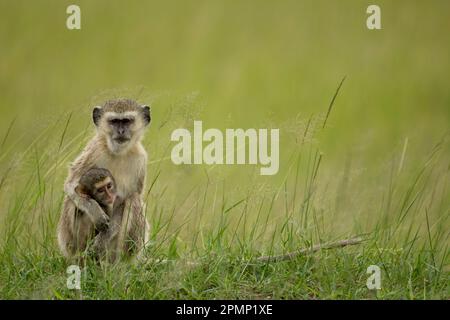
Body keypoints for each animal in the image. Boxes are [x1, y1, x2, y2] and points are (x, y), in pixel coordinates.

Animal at [58, 99, 151, 262]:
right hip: (69, 243)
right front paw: (96, 212)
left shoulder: (141, 159)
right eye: (114, 121)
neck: (118, 153)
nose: (121, 132)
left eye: (127, 121)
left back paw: (120, 263)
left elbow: (126, 199)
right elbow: (71, 185)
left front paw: (101, 240)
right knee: (74, 200)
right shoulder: (95, 150)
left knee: (133, 199)